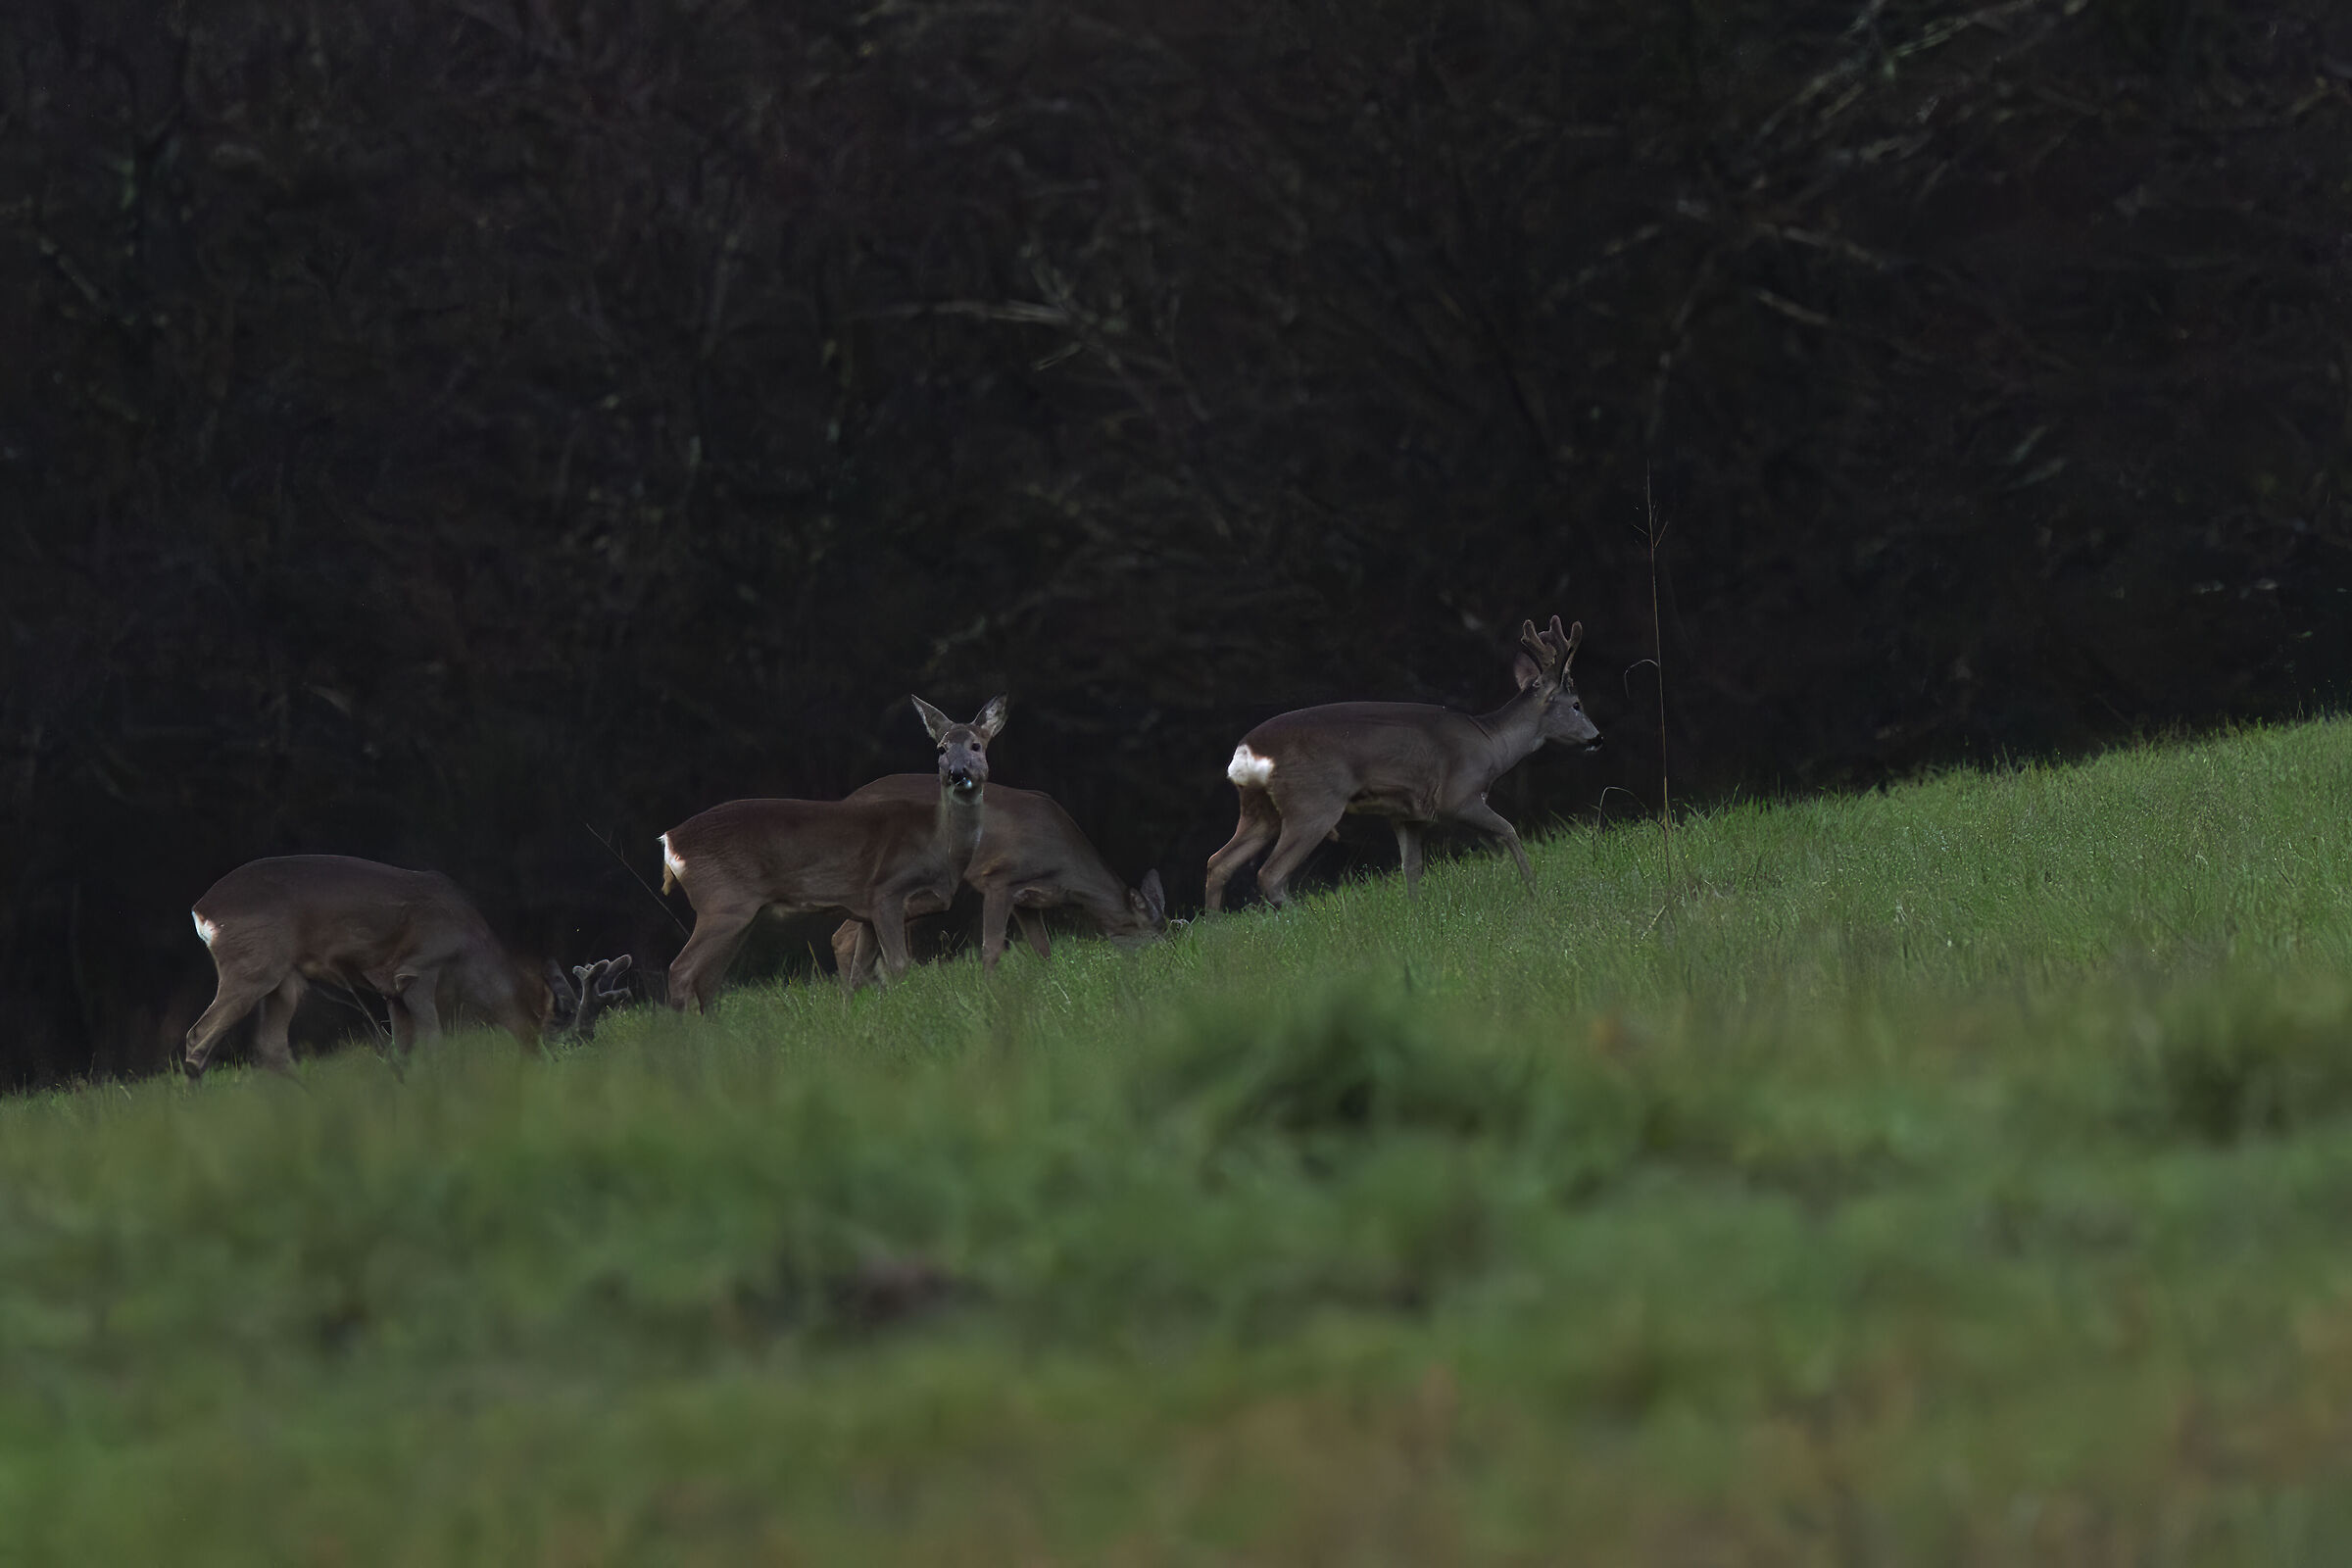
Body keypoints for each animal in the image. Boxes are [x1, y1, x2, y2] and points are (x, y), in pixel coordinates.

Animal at [182, 854, 556, 1078]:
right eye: (543, 1013)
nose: (540, 1059)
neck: (470, 949)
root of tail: (201, 911)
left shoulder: (391, 989)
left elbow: (403, 1047)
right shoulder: (418, 969)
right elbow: (433, 1038)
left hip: (285, 978)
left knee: (271, 1047)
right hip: (252, 966)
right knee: (199, 1035)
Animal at [659, 695, 1008, 1011]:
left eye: (976, 746)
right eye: (941, 749)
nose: (957, 773)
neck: (941, 846)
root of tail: (670, 840)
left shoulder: (867, 910)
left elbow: (858, 973)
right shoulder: (887, 892)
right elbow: (898, 965)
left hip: (740, 913)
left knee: (708, 980)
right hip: (722, 903)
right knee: (681, 970)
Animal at [824, 777, 1167, 989]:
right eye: (1151, 935)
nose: (1164, 960)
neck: (1064, 870)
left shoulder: (1028, 901)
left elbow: (1043, 948)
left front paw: (1049, 984)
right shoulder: (998, 879)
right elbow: (991, 948)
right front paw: (989, 992)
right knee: (843, 936)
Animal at [1204, 615, 1600, 911]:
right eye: (1576, 703)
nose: (1597, 738)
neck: (1491, 744)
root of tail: (1247, 751)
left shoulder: (1407, 815)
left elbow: (1412, 867)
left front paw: (1415, 911)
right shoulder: (1458, 795)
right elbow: (1509, 831)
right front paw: (1534, 891)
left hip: (1259, 809)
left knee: (1218, 863)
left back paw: (1215, 932)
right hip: (1312, 803)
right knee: (1270, 874)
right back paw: (1299, 920)